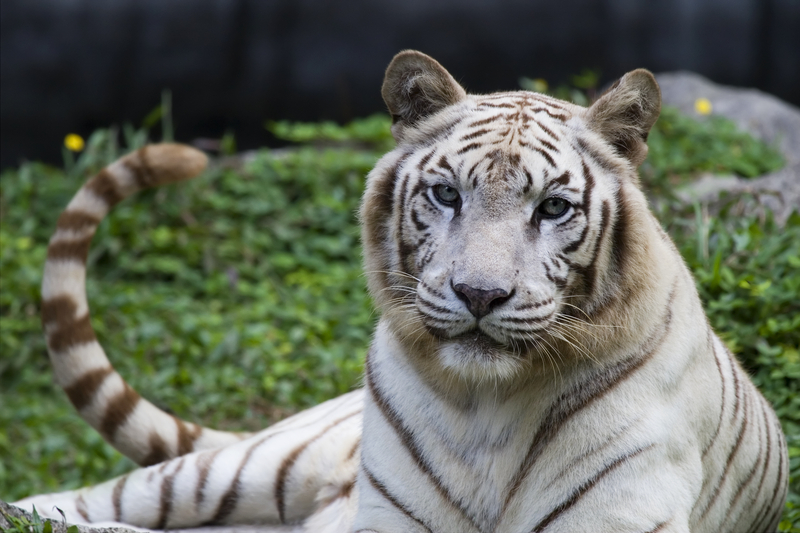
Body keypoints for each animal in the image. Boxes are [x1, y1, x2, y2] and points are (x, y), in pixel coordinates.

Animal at [14, 51, 788, 532]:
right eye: (447, 195)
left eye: (553, 208)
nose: (480, 294)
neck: (488, 407)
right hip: (242, 468)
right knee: (81, 498)